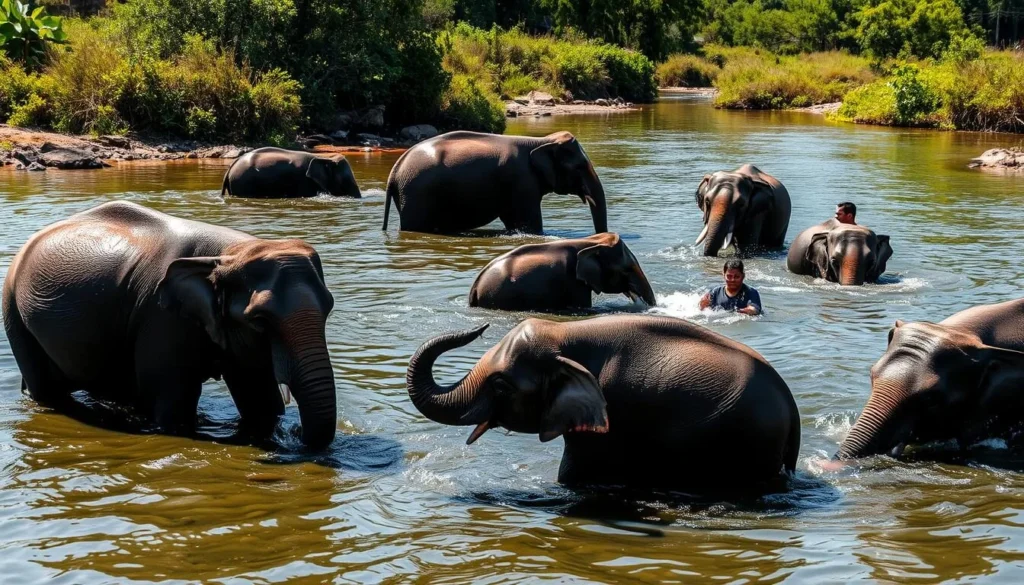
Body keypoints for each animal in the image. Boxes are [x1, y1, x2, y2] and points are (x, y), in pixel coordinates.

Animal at [2, 201, 337, 448]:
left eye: (329, 308)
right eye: (259, 320)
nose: (296, 434)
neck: (231, 252)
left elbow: (260, 402)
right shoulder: (162, 318)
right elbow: (172, 406)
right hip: (13, 309)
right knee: (46, 389)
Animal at [382, 131, 607, 235]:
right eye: (580, 166)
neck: (541, 140)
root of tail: (395, 171)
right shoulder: (522, 180)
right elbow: (530, 225)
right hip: (416, 195)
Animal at [405, 315, 801, 491]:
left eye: (501, 385)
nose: (480, 327)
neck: (565, 333)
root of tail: (793, 412)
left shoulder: (610, 416)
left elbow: (571, 475)